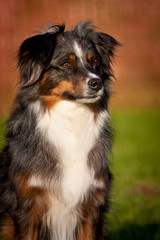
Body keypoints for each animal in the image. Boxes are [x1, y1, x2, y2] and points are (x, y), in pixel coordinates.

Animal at [0, 21, 119, 239]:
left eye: (95, 61)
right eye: (66, 64)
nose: (97, 83)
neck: (71, 119)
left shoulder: (91, 206)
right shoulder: (26, 207)